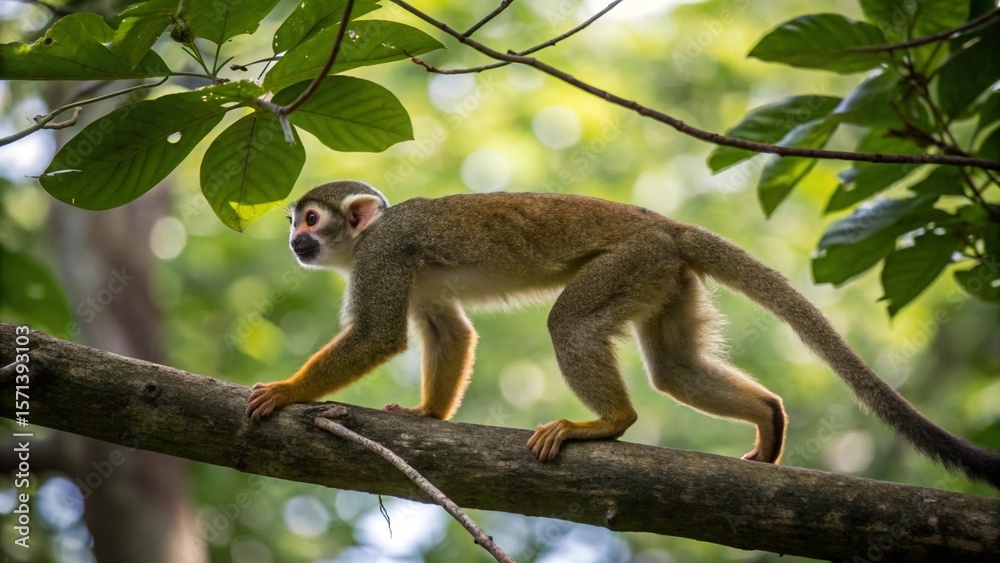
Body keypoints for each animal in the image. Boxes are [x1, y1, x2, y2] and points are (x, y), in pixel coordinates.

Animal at [246, 180, 1000, 489]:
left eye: (310, 219)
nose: (293, 242)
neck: (367, 238)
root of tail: (665, 224)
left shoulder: (383, 256)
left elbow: (378, 336)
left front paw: (287, 391)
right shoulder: (408, 272)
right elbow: (447, 330)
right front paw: (431, 414)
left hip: (632, 260)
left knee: (570, 322)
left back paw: (610, 422)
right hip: (666, 275)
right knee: (673, 367)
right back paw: (767, 415)